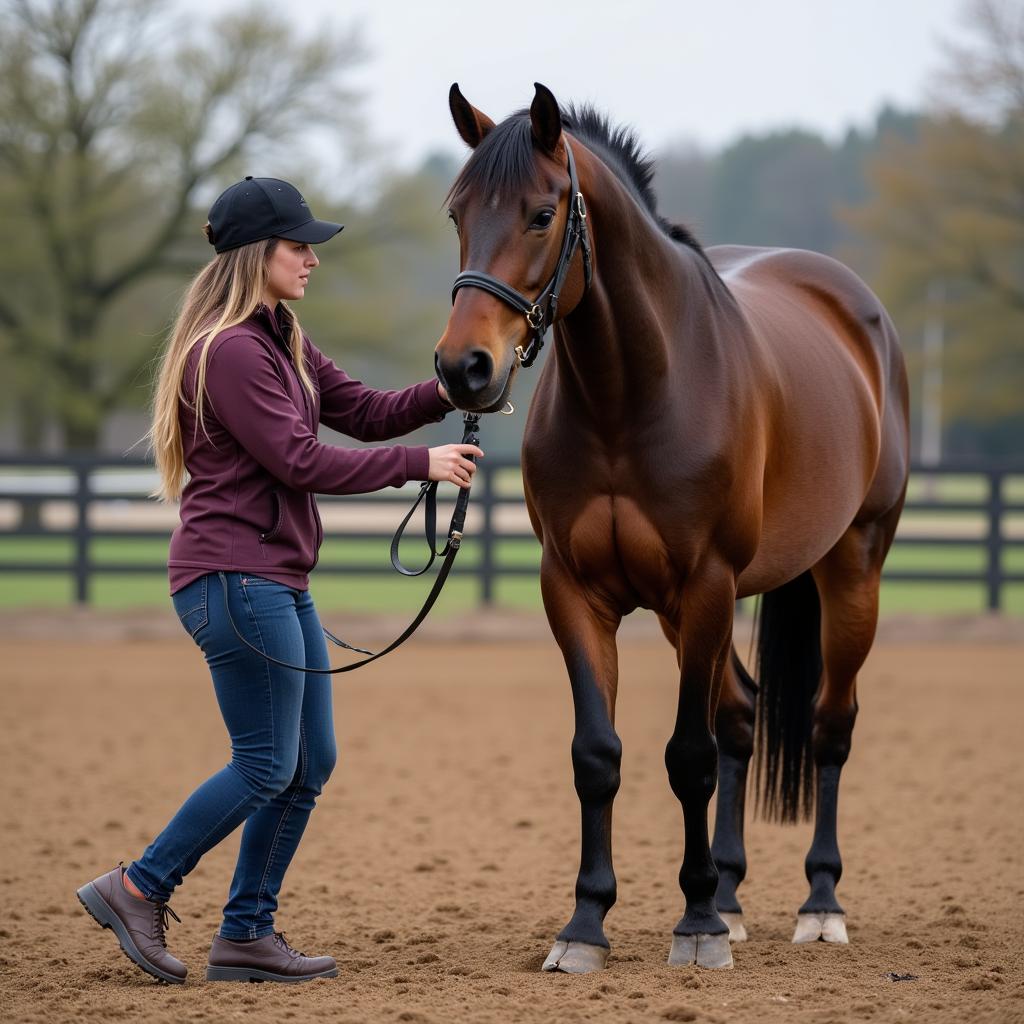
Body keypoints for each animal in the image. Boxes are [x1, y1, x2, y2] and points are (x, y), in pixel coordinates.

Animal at [436, 83, 909, 970]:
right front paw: (586, 924)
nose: (463, 368)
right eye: (456, 212)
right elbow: (599, 755)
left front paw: (693, 929)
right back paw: (727, 896)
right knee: (744, 715)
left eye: (542, 214)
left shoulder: (708, 584)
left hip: (851, 568)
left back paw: (818, 904)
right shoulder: (576, 591)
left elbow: (688, 757)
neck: (629, 394)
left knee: (829, 725)